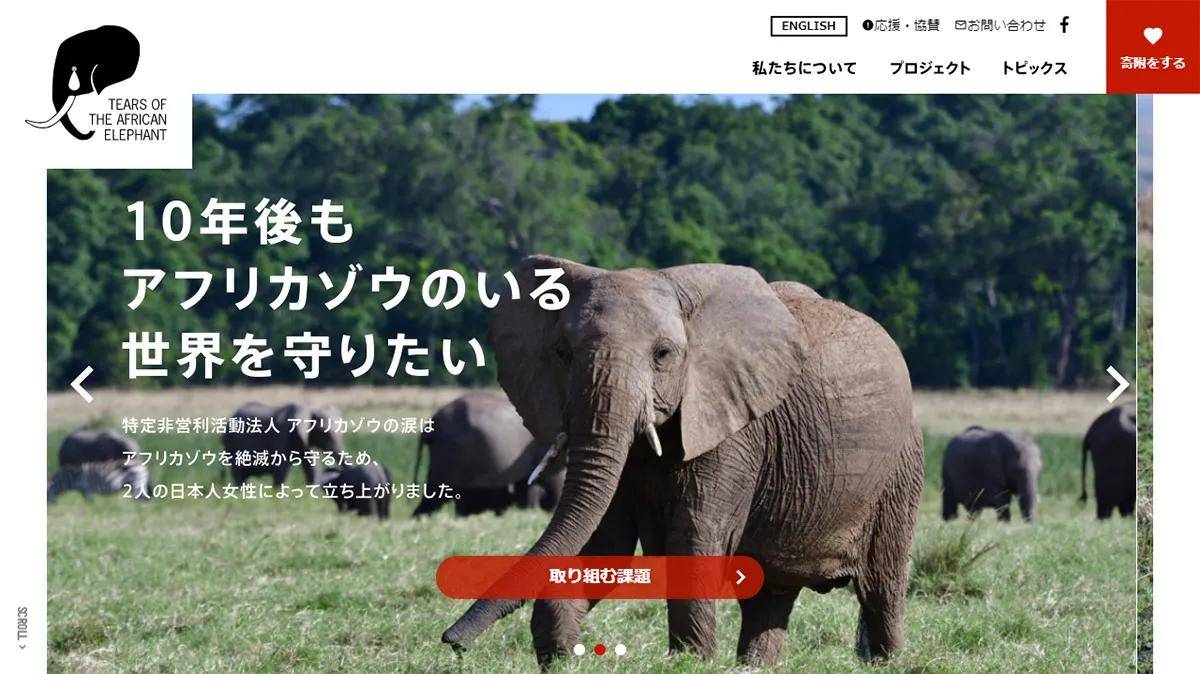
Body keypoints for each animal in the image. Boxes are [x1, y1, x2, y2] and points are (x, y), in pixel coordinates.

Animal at [220, 402, 349, 487]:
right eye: (324, 432)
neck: (308, 407)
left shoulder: (305, 438)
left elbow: (313, 467)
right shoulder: (281, 436)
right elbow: (280, 468)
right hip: (231, 445)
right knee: (238, 473)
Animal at [440, 255, 925, 669]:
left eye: (663, 354)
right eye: (561, 352)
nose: (452, 642)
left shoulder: (733, 427)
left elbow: (693, 536)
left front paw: (690, 662)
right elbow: (604, 541)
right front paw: (560, 652)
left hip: (902, 466)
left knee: (882, 584)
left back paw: (889, 661)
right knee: (770, 594)